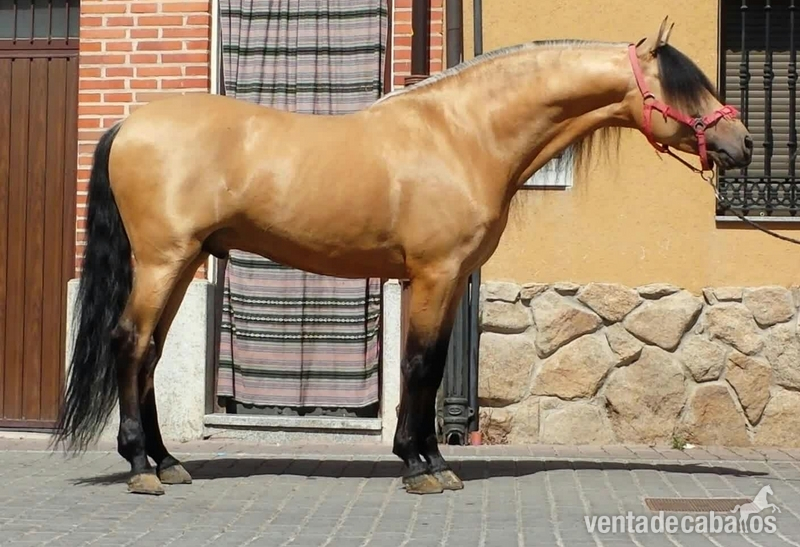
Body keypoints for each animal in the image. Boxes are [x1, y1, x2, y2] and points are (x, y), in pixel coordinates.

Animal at [52, 16, 752, 496]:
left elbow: (433, 366)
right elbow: (418, 365)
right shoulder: (436, 273)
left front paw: (428, 458)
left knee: (148, 353)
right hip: (162, 260)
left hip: (182, 261)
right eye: (684, 90)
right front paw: (422, 467)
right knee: (129, 344)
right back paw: (141, 465)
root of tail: (128, 125)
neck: (464, 133)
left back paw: (169, 461)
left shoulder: (446, 278)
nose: (742, 143)